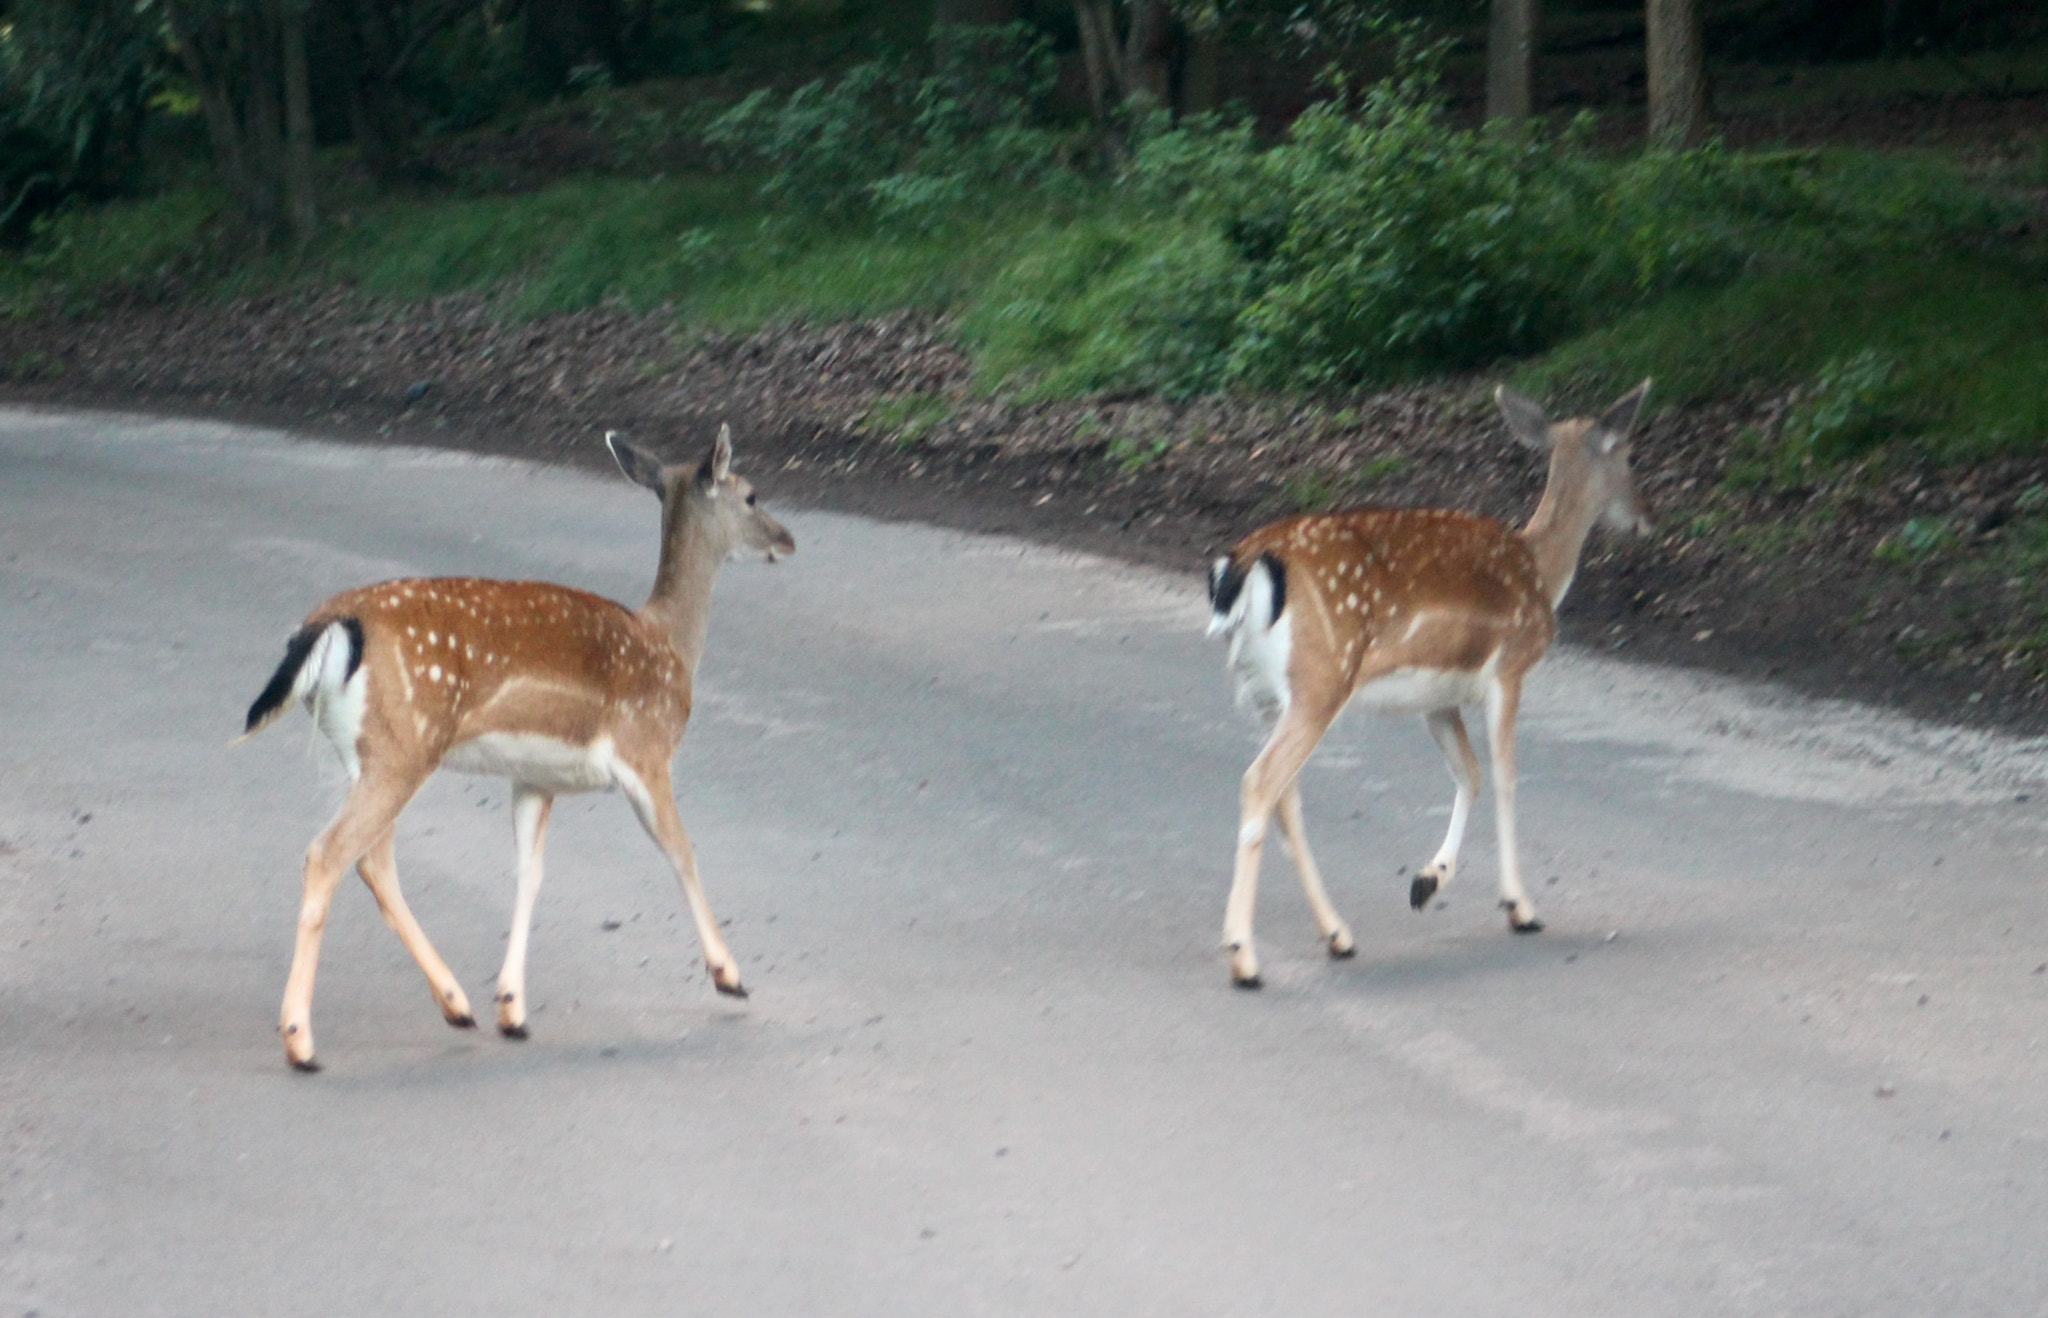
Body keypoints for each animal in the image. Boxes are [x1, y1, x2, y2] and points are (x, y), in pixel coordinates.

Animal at [240, 424, 795, 1070]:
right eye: (751, 495)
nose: (788, 539)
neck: (670, 646)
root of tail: (327, 625)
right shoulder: (645, 748)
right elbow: (682, 852)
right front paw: (730, 975)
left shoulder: (534, 777)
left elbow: (529, 873)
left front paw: (512, 1007)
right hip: (405, 745)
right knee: (329, 854)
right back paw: (301, 1040)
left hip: (369, 752)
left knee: (372, 862)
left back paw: (457, 1004)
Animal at [1206, 382, 1652, 987]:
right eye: (1628, 456)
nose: (1646, 519)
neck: (1540, 568)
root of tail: (1245, 564)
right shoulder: (1509, 667)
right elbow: (1506, 777)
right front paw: (1520, 906)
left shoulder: (1437, 699)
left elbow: (1469, 773)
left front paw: (1426, 881)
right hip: (1322, 679)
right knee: (1260, 782)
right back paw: (1244, 957)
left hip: (1266, 696)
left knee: (1284, 797)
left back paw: (1338, 935)